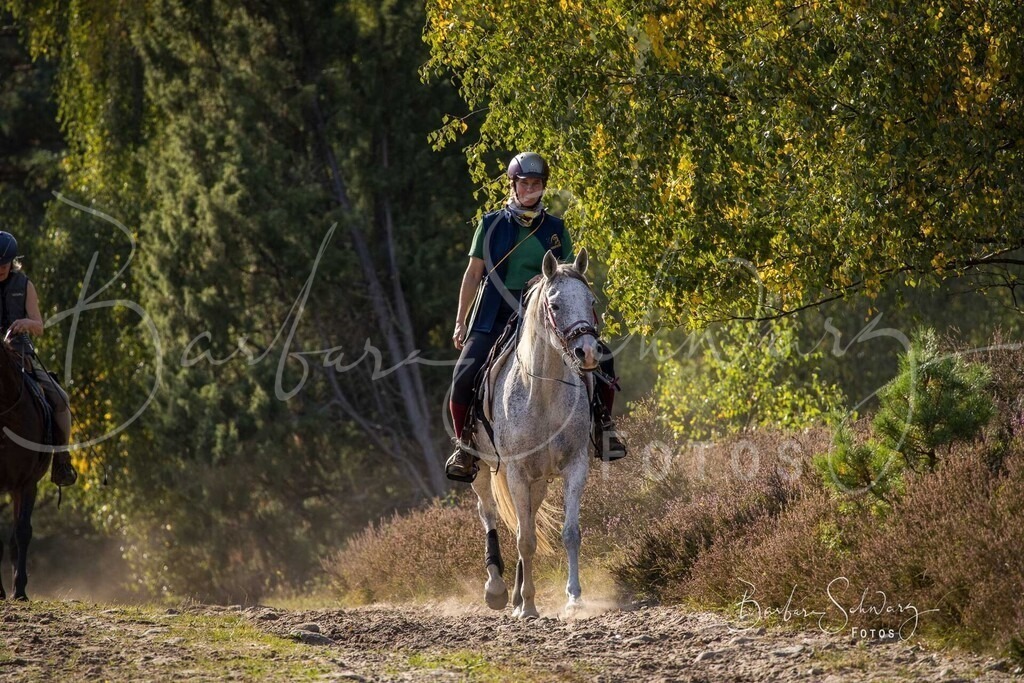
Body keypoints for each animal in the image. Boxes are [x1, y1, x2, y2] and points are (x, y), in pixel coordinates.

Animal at [470, 248, 600, 619]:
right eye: (554, 305)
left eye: (591, 300)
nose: (588, 352)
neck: (542, 392)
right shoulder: (515, 471)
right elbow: (525, 540)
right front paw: (528, 605)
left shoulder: (575, 466)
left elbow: (570, 533)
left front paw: (574, 599)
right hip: (482, 468)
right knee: (490, 513)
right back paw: (498, 590)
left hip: (538, 479)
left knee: (522, 518)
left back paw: (514, 595)